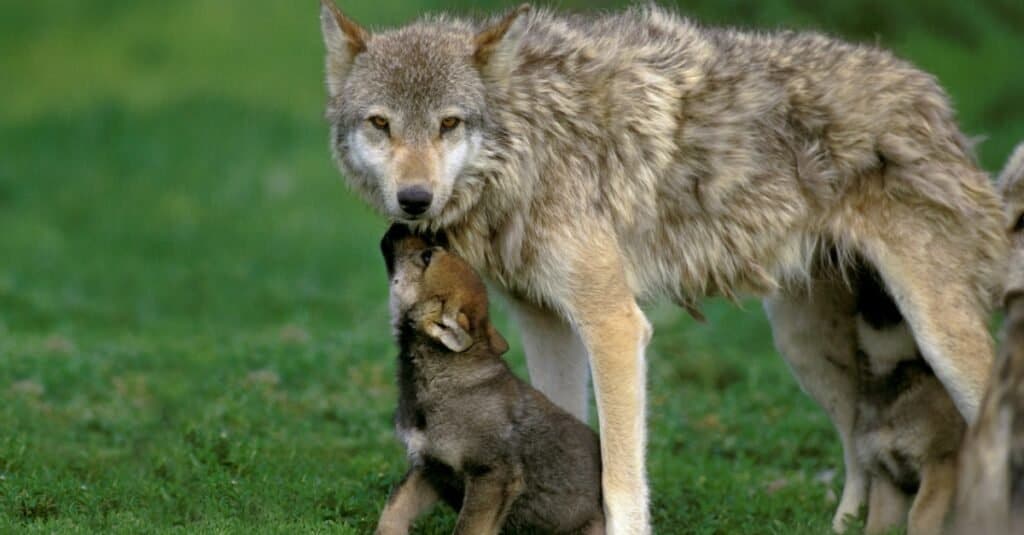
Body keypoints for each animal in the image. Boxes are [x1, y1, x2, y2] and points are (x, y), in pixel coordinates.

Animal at [376, 223, 602, 532]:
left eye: (427, 257)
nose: (400, 224)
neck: (442, 376)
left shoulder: (492, 475)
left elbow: (466, 528)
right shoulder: (429, 468)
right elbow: (393, 510)